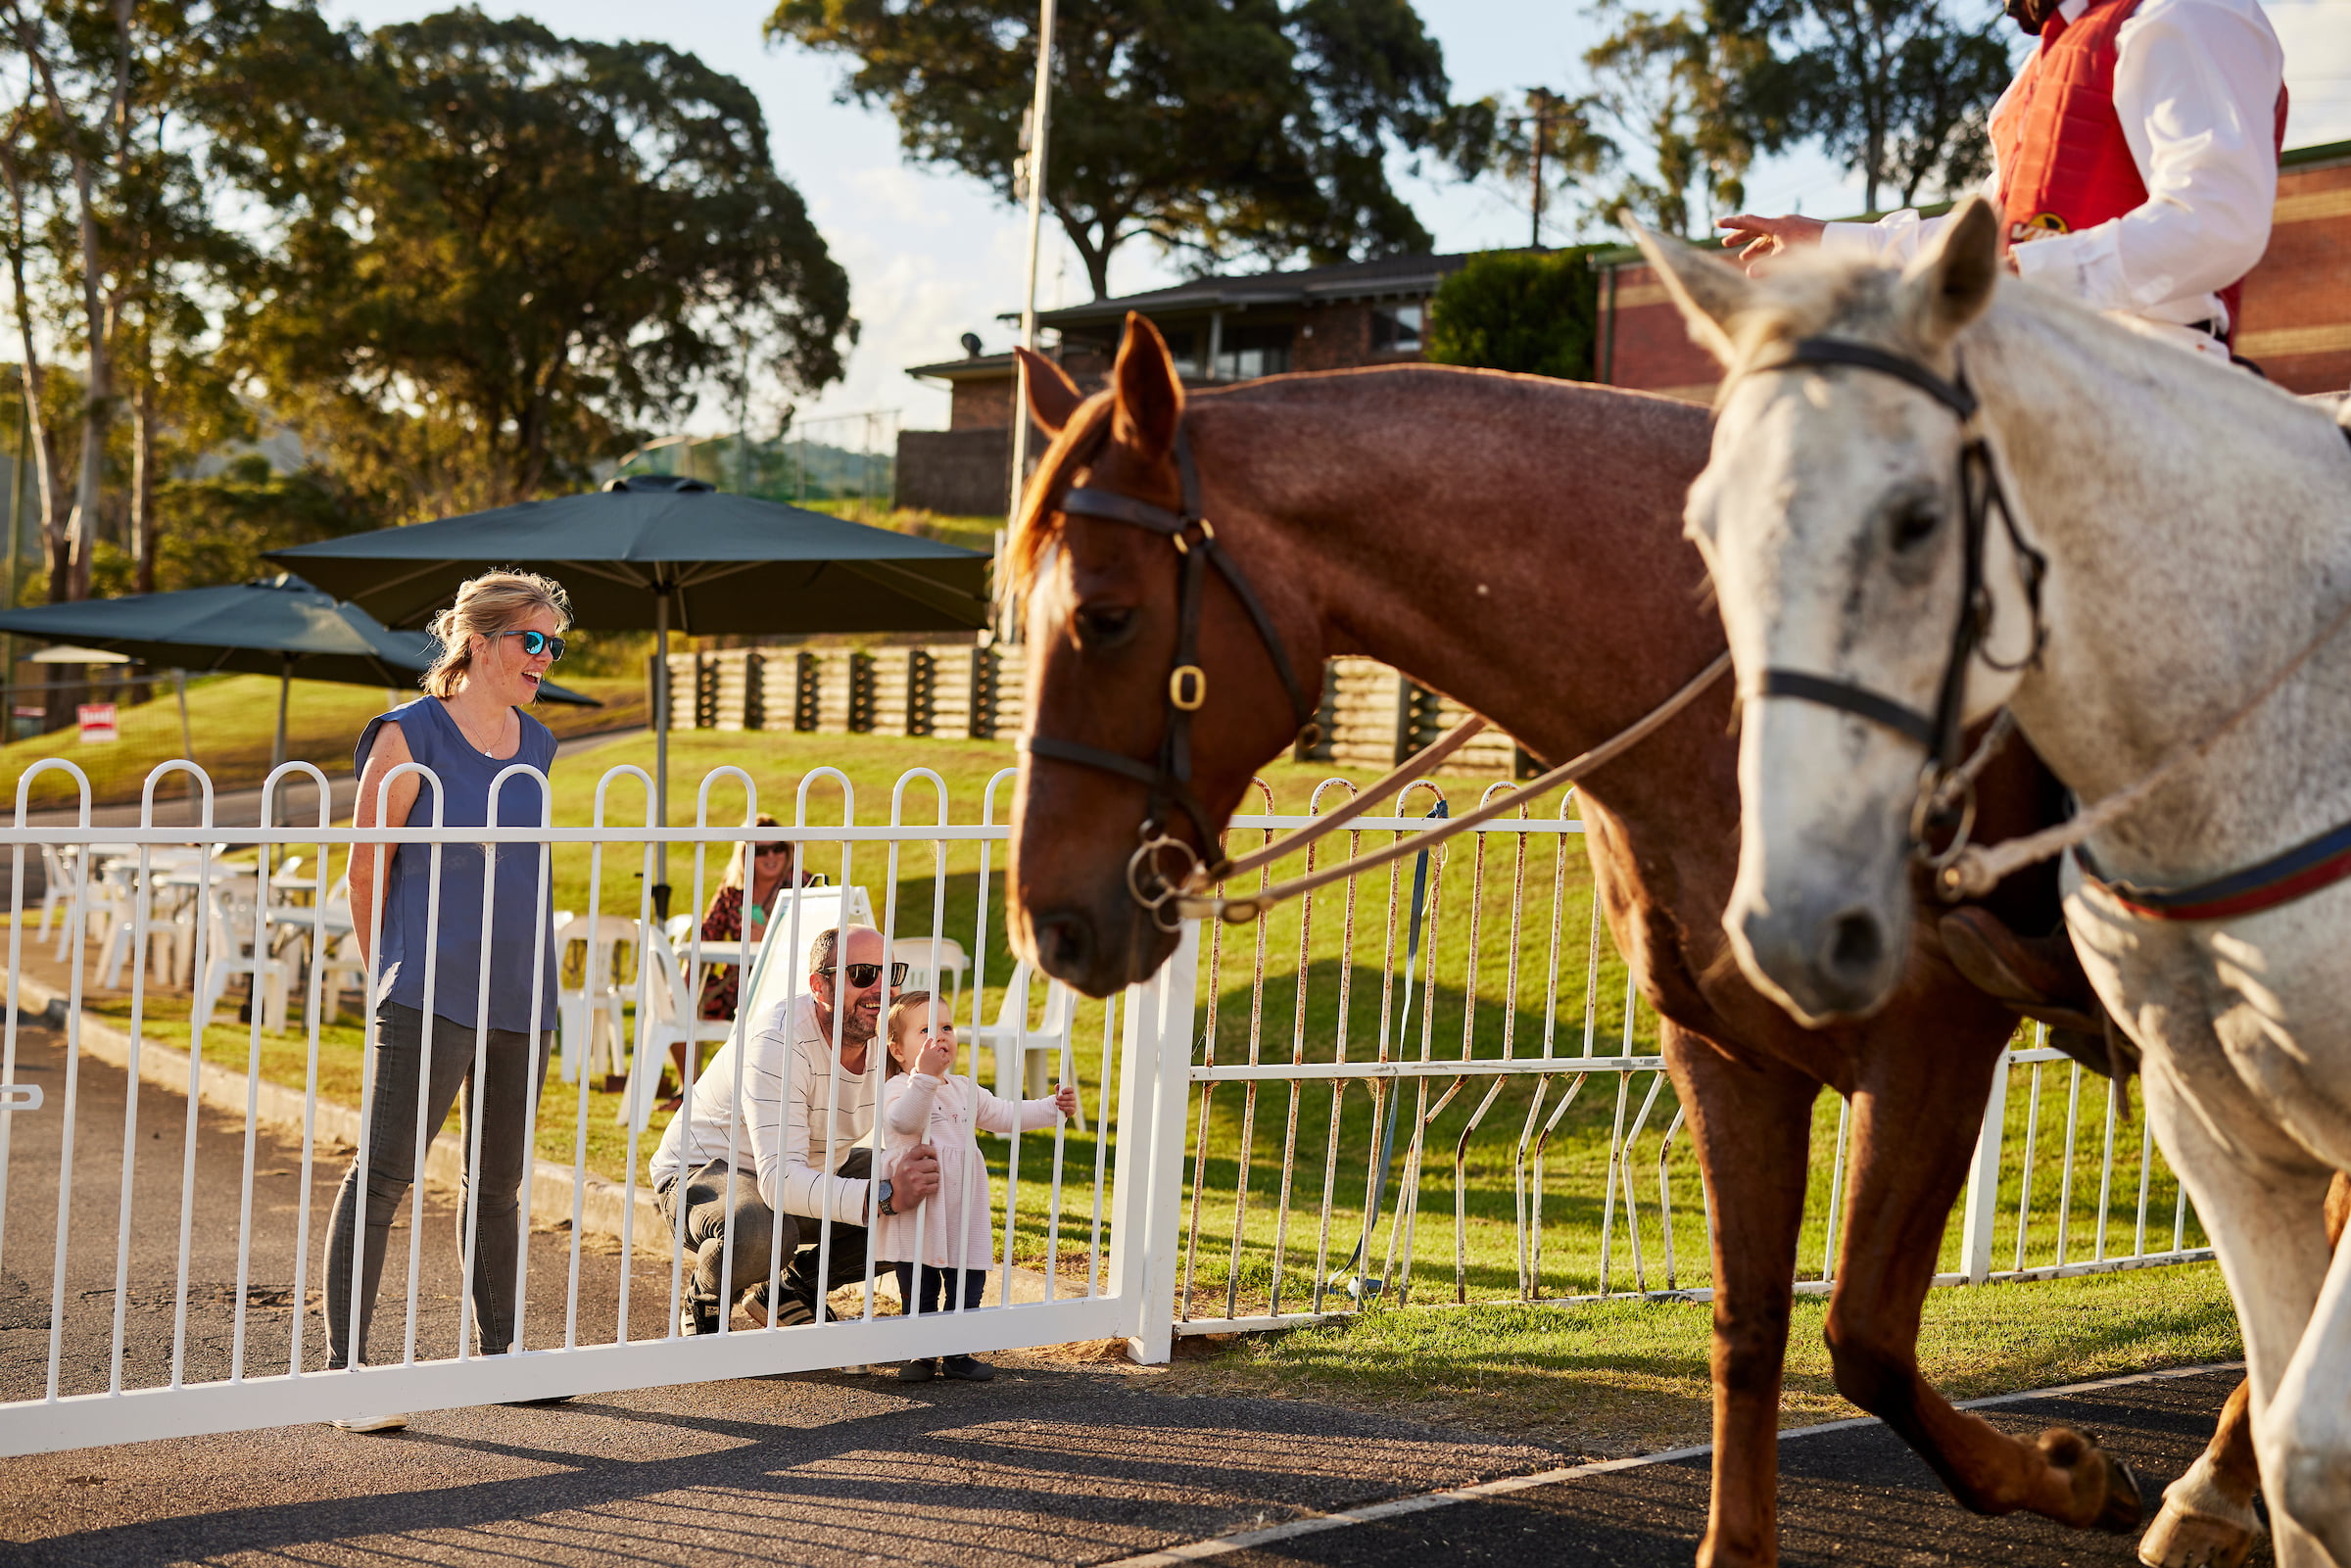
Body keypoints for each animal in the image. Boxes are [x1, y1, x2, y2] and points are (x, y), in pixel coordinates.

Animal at [1001, 312, 2143, 1560]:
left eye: (1105, 616)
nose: (1049, 920)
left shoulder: (1932, 1045)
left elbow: (1867, 1340)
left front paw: (2075, 1472)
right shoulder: (1731, 1057)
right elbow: (1752, 1328)